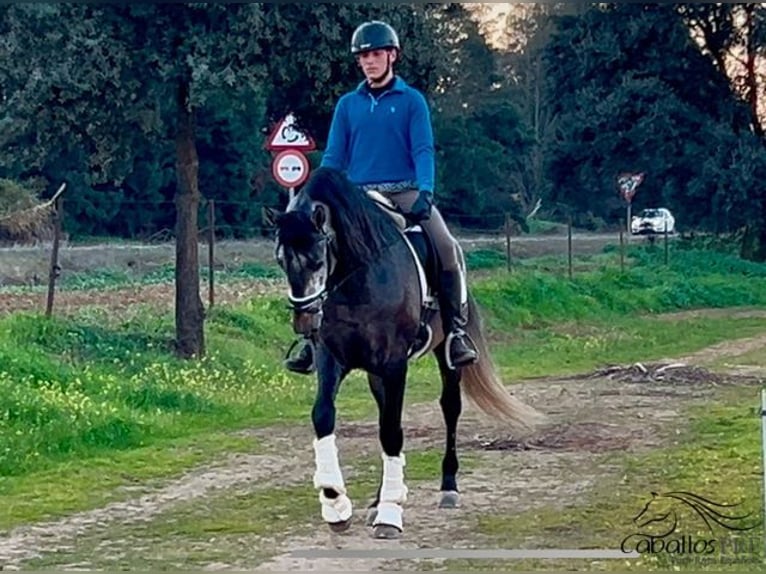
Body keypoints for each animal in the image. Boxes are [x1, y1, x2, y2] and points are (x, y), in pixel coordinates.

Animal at [268, 166, 544, 540]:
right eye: (281, 260)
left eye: (316, 258)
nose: (304, 320)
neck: (358, 280)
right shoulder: (331, 358)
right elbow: (324, 416)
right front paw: (335, 503)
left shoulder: (394, 362)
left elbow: (391, 431)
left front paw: (389, 515)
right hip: (375, 374)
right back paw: (377, 498)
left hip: (444, 356)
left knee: (449, 408)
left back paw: (448, 488)